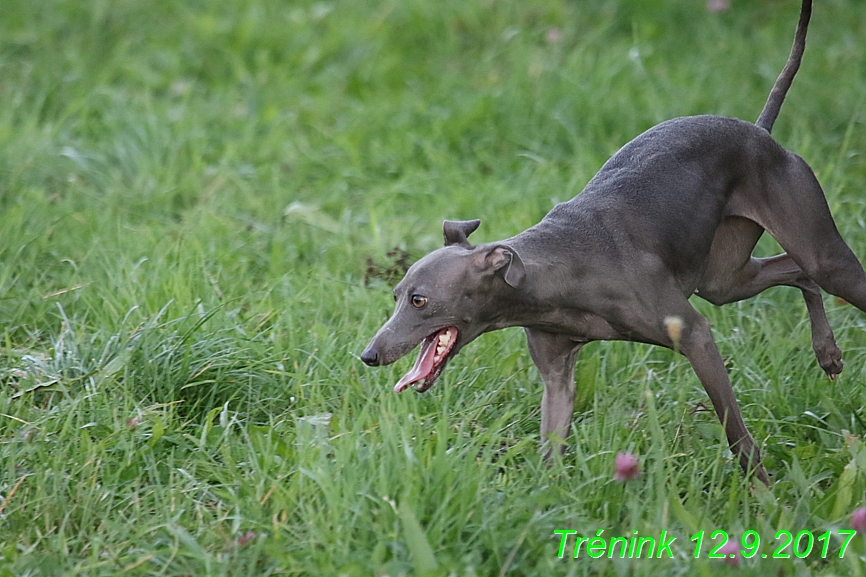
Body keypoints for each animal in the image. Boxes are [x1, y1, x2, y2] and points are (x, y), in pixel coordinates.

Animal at [360, 0, 864, 484]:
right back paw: (827, 353)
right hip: (725, 279)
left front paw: (761, 493)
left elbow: (736, 432)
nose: (368, 354)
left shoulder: (695, 337)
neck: (551, 272)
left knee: (821, 270)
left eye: (419, 300)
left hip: (821, 252)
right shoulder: (557, 375)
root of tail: (759, 132)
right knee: (796, 272)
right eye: (395, 295)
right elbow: (551, 449)